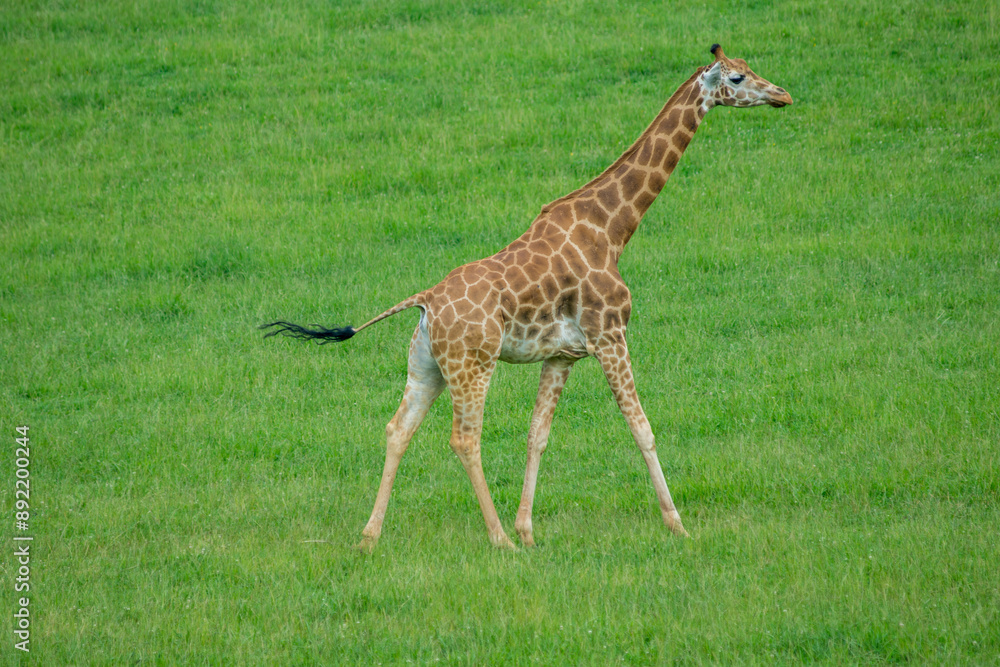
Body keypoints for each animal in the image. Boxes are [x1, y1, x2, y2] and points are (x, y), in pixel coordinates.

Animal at [263, 44, 792, 550]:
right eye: (738, 77)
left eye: (751, 65)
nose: (783, 95)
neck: (612, 229)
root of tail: (425, 300)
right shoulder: (610, 335)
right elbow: (641, 426)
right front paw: (677, 525)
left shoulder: (563, 354)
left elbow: (537, 435)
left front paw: (529, 530)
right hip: (473, 364)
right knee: (464, 439)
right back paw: (496, 539)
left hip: (427, 365)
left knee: (398, 430)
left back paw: (370, 538)